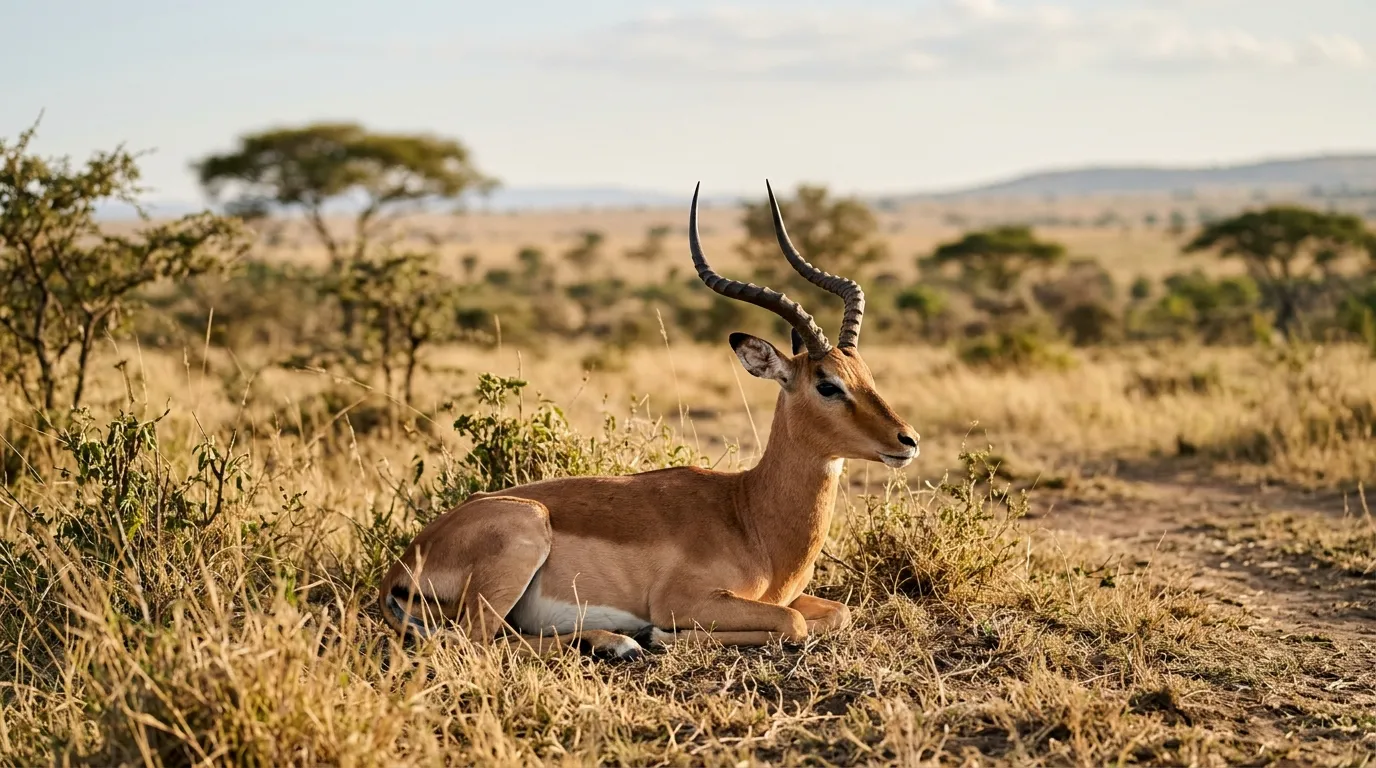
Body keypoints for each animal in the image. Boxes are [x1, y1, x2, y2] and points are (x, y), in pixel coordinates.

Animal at [380, 181, 919, 659]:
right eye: (827, 385)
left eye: (866, 375)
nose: (907, 440)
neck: (749, 516)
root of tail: (402, 566)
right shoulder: (690, 600)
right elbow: (792, 622)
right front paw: (660, 634)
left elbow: (837, 612)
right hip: (519, 544)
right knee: (473, 643)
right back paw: (620, 642)